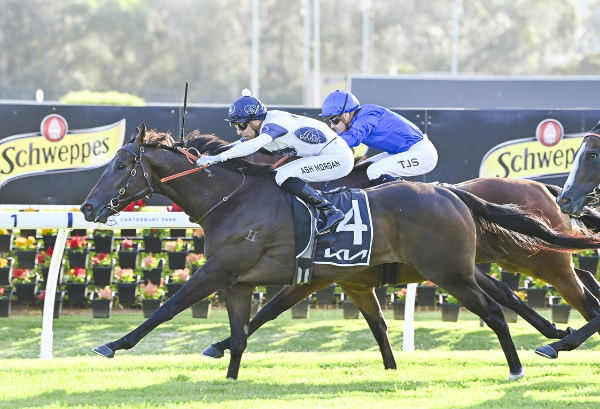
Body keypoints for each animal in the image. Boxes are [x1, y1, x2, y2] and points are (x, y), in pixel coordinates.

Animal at [81, 126, 600, 380]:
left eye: (123, 164)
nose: (87, 206)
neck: (234, 197)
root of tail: (451, 193)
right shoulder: (297, 278)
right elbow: (252, 325)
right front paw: (225, 362)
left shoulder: (225, 269)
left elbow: (168, 306)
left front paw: (112, 345)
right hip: (465, 267)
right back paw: (553, 338)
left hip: (469, 269)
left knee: (509, 307)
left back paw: (529, 359)